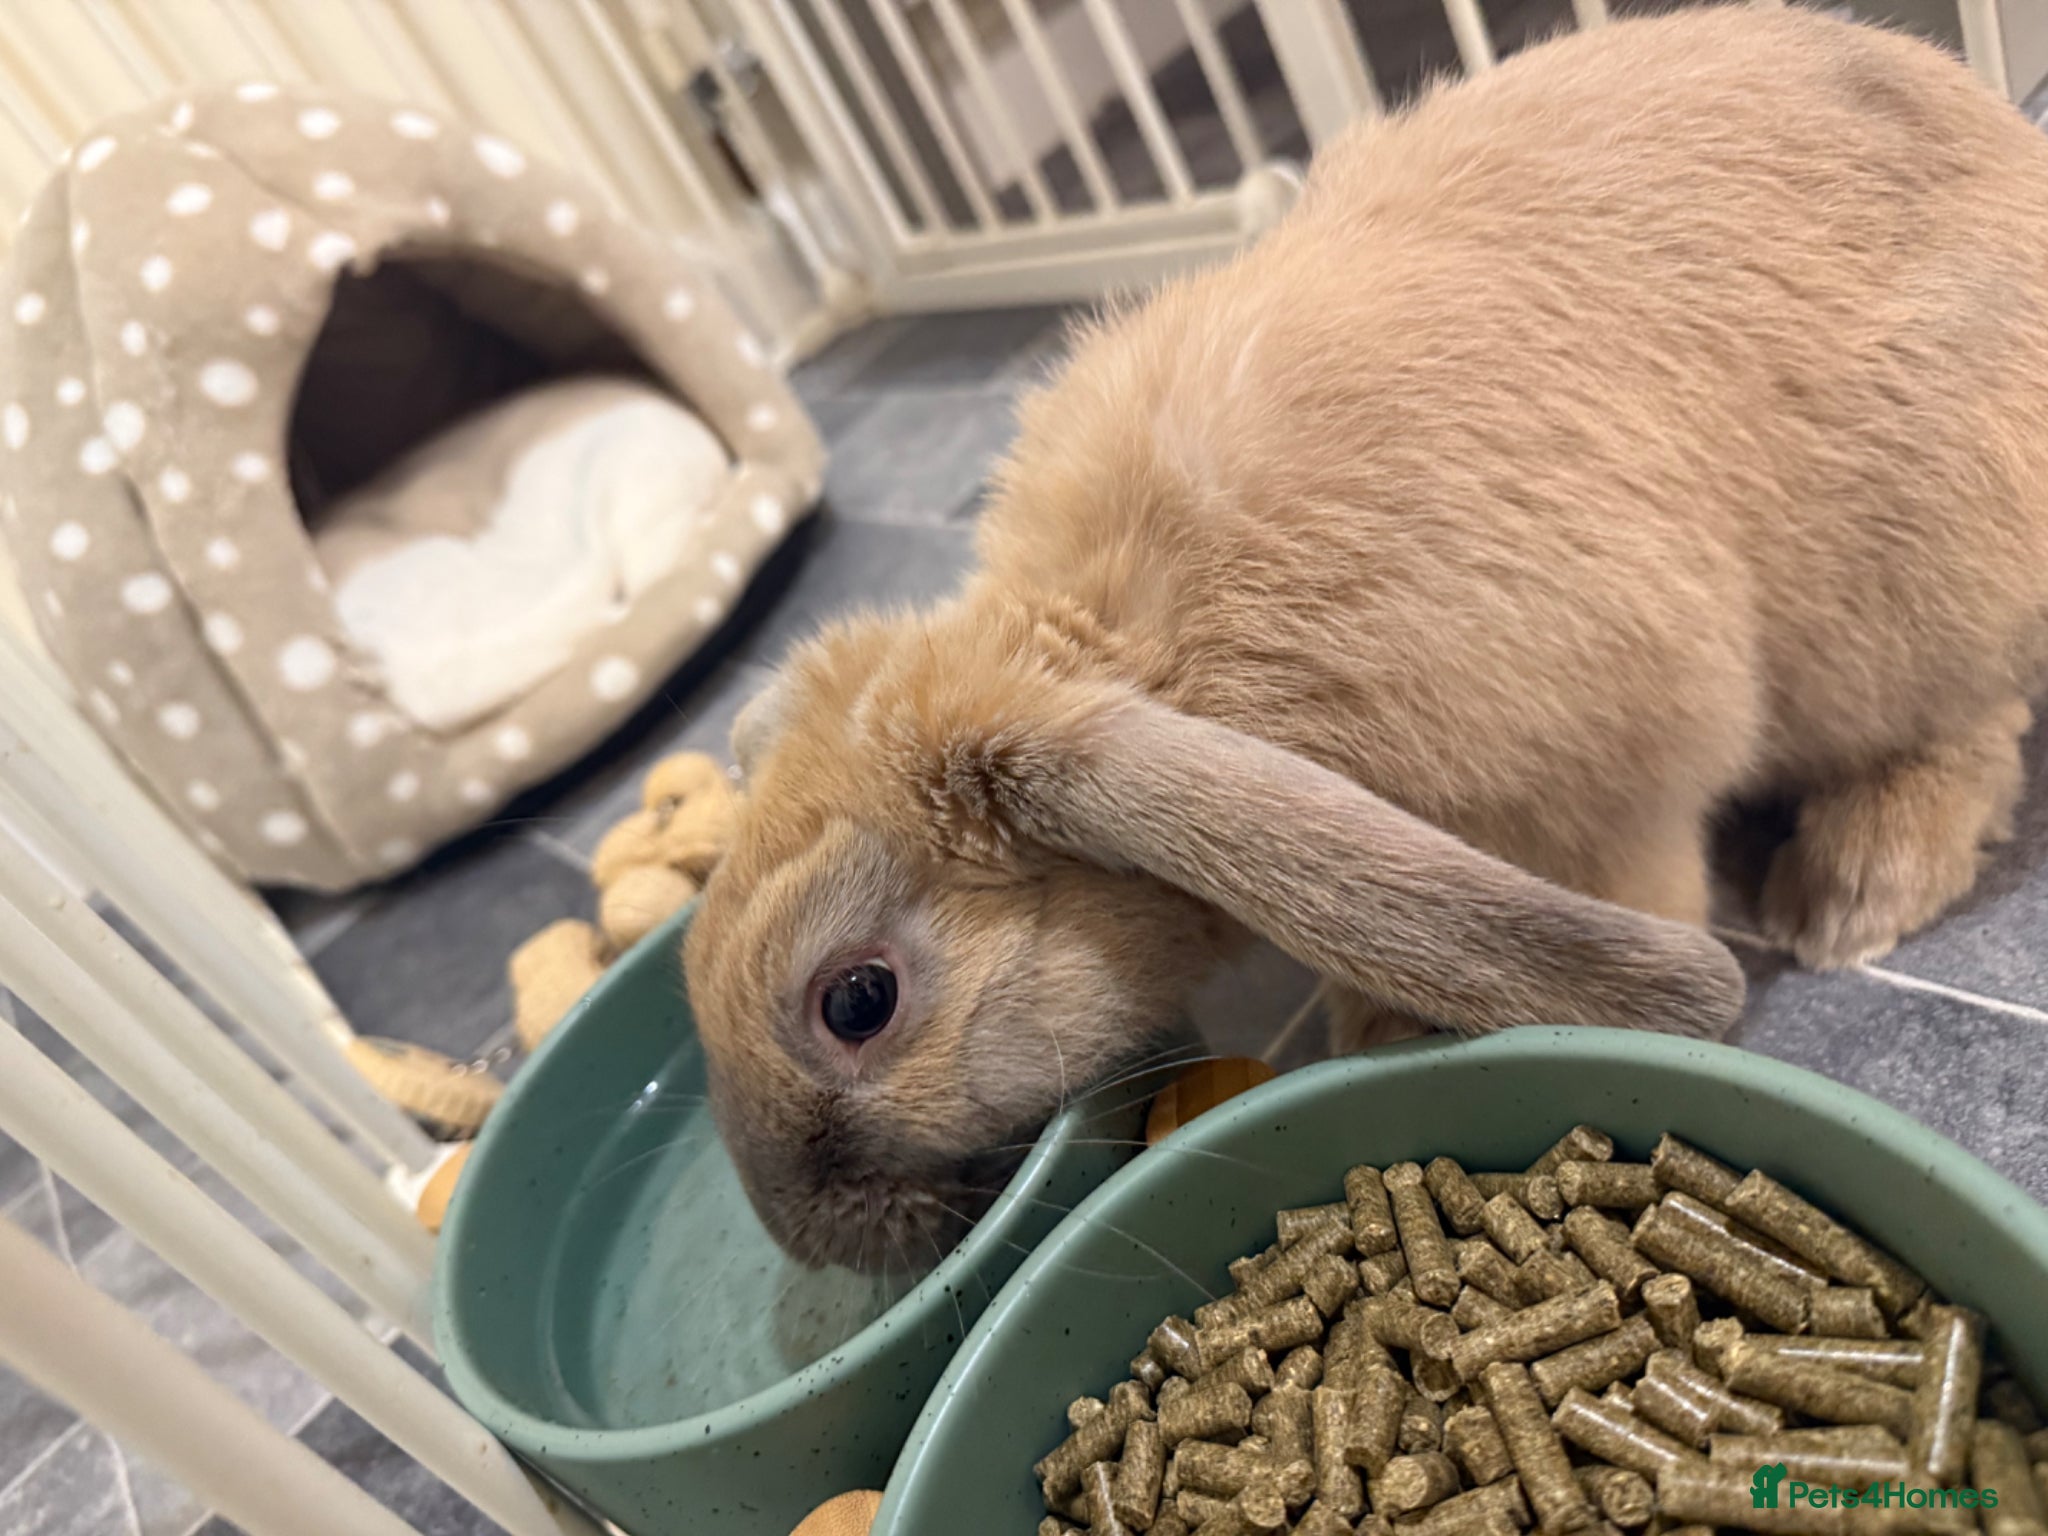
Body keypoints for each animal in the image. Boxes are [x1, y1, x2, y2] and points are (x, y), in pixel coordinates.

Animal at [686, 4, 2048, 1273]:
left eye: (857, 1000)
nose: (809, 1237)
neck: (1144, 656)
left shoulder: (1609, 791)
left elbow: (1628, 894)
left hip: (1905, 600)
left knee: (1967, 731)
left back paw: (1849, 893)